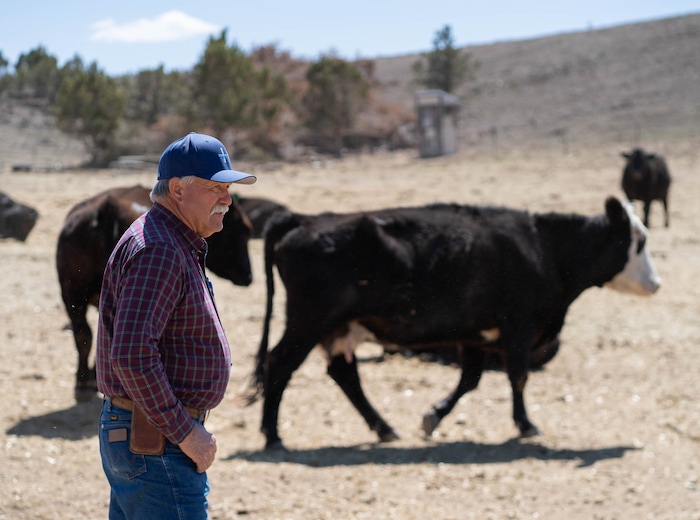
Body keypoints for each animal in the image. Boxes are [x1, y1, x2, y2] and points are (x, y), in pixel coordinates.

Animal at [56, 184, 255, 402]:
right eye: (243, 230)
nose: (249, 276)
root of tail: (108, 208)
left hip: (71, 292)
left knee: (84, 334)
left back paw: (83, 383)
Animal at [245, 197, 660, 450]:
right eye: (638, 241)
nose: (656, 283)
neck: (542, 247)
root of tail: (305, 220)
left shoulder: (475, 336)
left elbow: (469, 381)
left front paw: (433, 417)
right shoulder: (518, 327)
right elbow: (518, 376)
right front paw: (525, 424)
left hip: (338, 328)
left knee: (344, 375)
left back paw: (384, 428)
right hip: (307, 323)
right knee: (279, 364)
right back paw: (273, 435)